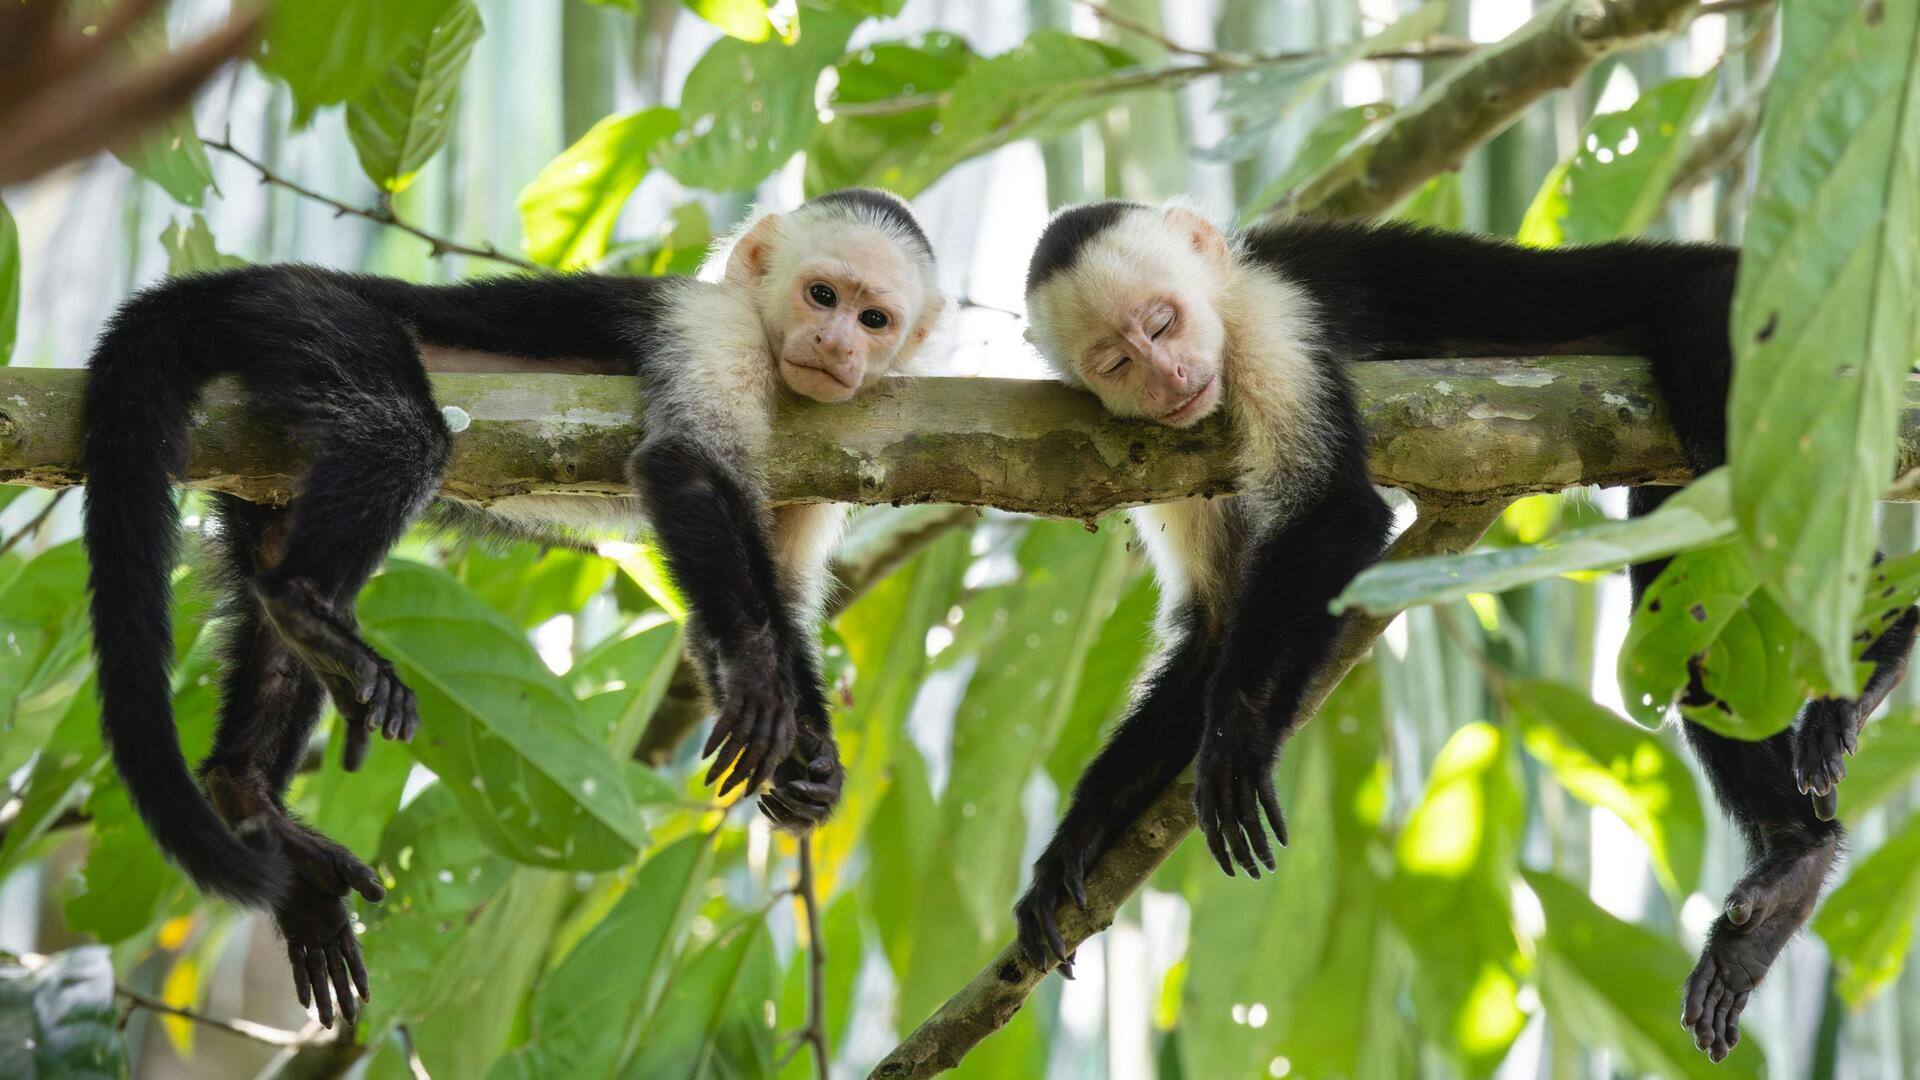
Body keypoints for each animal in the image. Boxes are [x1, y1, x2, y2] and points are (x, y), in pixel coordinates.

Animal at [78, 184, 948, 1022]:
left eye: (873, 319)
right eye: (820, 294)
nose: (836, 345)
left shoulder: (831, 437)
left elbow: (755, 608)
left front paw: (813, 762)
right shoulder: (713, 327)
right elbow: (686, 464)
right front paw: (765, 683)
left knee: (272, 575)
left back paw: (249, 788)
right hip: (301, 316)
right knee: (401, 432)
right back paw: (308, 608)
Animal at [1013, 201, 1912, 1060]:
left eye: (1163, 323)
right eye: (1117, 362)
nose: (1169, 377)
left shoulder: (1272, 322)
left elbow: (1338, 515)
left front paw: (1237, 739)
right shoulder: (1167, 451)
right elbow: (1217, 627)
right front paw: (1074, 843)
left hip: (1733, 309)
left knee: (1746, 476)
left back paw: (1877, 653)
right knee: (1678, 565)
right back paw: (1792, 862)